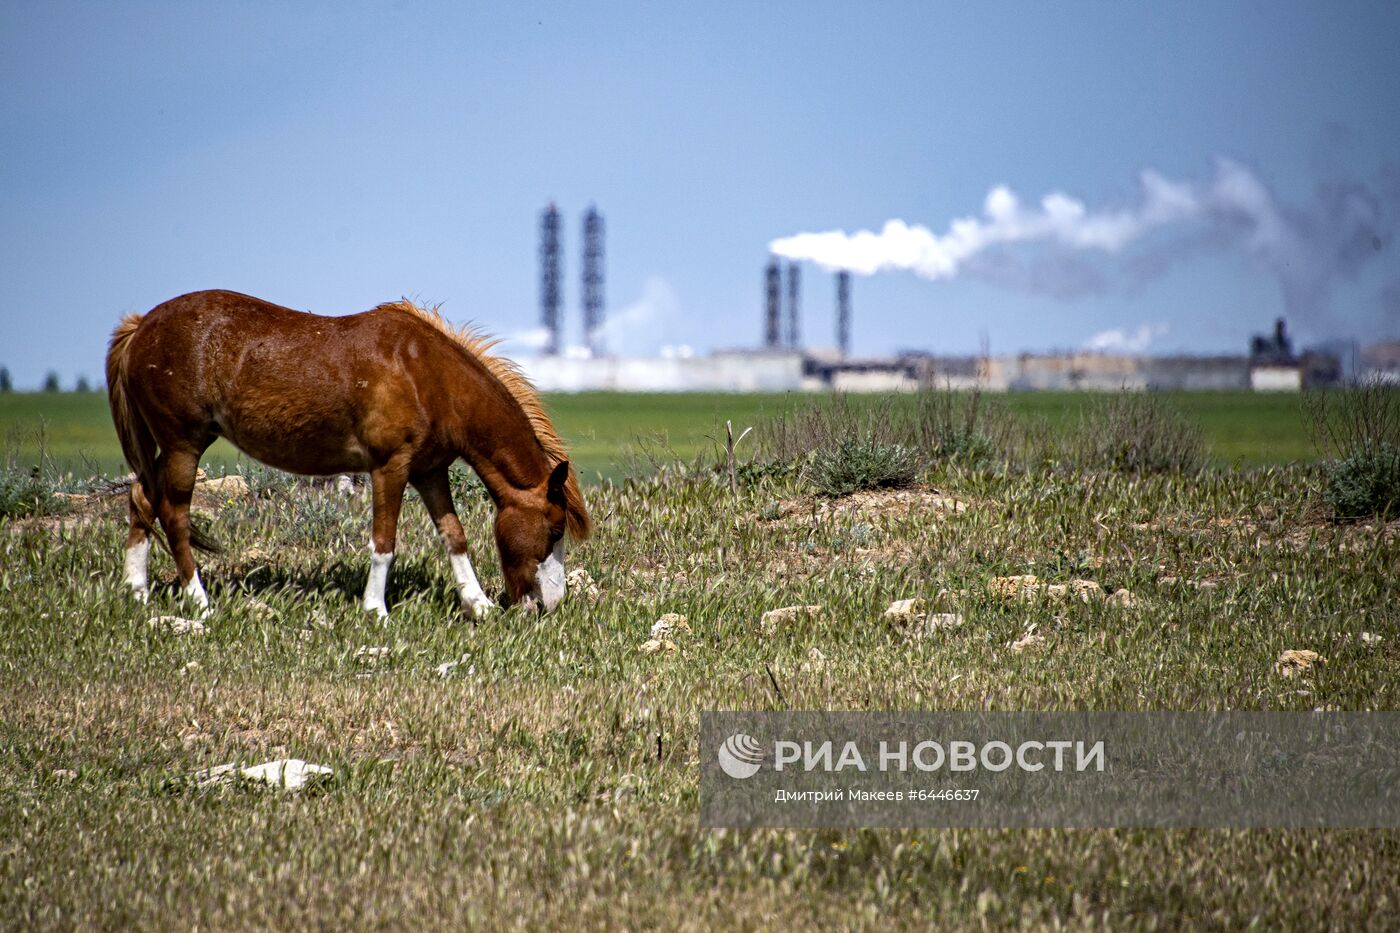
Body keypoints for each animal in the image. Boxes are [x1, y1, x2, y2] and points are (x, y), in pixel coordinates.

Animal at [105, 289, 590, 619]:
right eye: (554, 529)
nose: (549, 604)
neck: (427, 376)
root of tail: (141, 327)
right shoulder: (390, 467)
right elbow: (384, 542)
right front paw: (376, 610)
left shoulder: (430, 471)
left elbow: (454, 535)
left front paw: (479, 604)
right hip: (183, 444)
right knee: (173, 515)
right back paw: (199, 600)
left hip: (173, 447)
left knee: (141, 499)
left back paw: (136, 591)